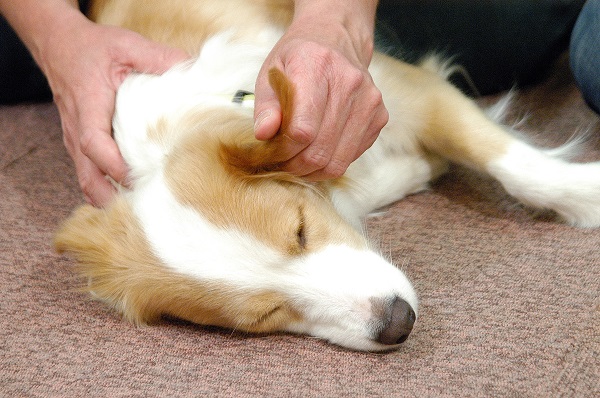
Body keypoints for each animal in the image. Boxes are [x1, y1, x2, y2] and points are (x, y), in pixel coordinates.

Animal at [54, 0, 600, 352]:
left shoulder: (404, 89)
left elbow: (516, 166)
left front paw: (585, 194)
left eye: (300, 230)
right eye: (266, 317)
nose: (396, 324)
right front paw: (415, 168)